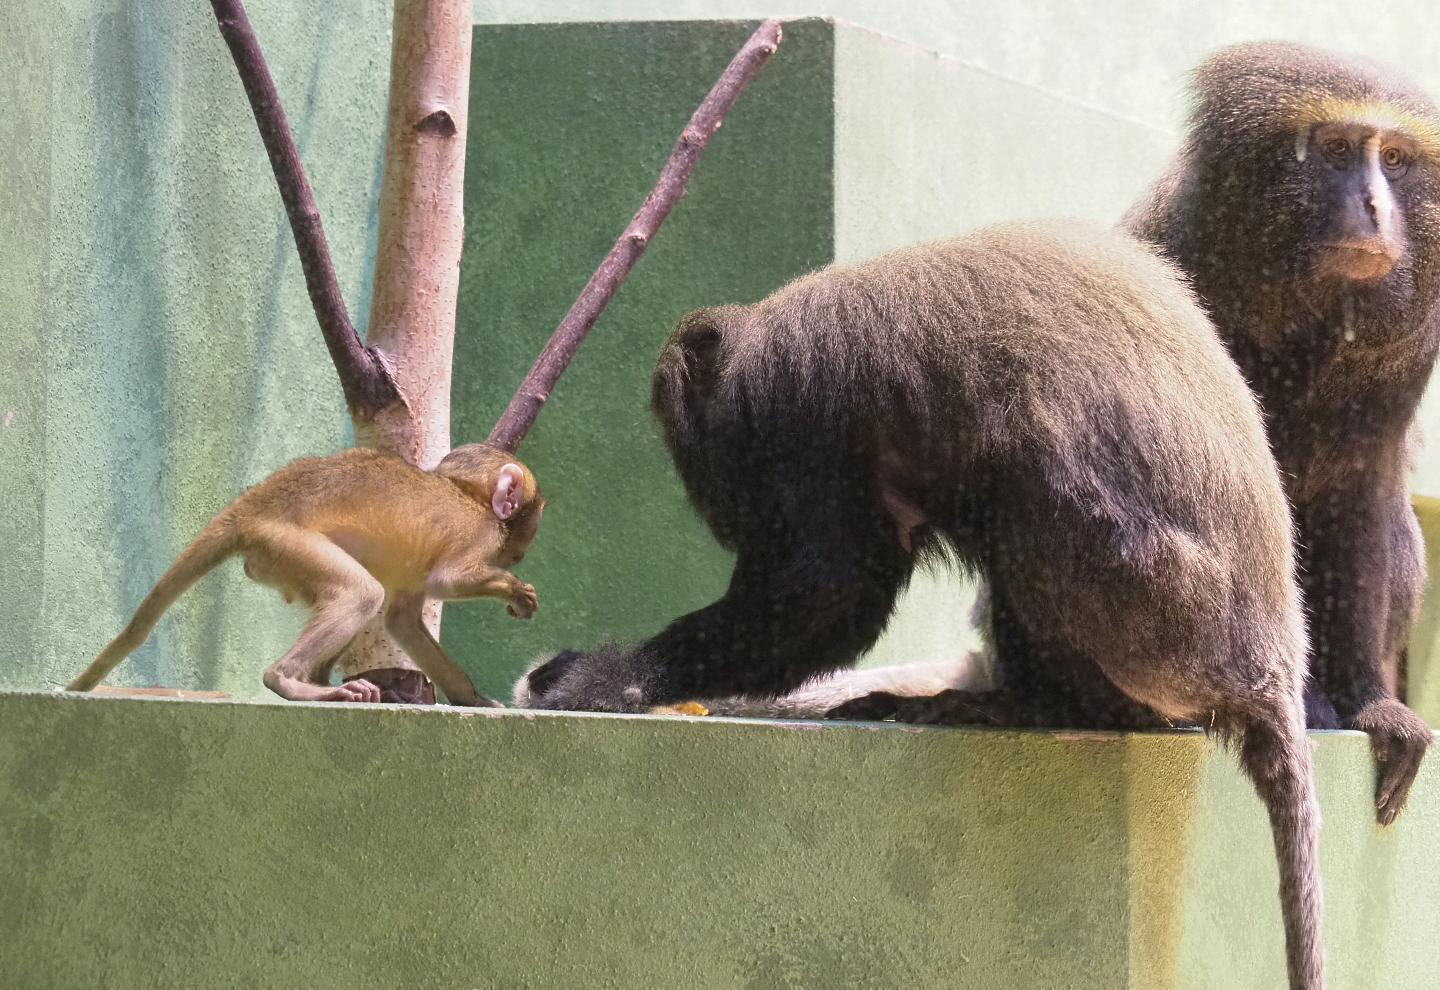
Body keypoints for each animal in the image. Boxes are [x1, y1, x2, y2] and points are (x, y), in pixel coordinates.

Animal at [68, 443, 543, 707]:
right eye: (534, 520)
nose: (524, 549)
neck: (470, 498)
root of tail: (255, 503)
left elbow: (402, 621)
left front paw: (470, 697)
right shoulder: (480, 534)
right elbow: (447, 579)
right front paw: (514, 590)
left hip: (275, 557)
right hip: (284, 542)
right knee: (360, 592)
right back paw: (291, 682)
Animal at [514, 218, 1323, 990]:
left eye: (704, 466)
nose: (720, 516)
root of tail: (1270, 668)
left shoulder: (804, 410)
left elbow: (829, 593)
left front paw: (610, 679)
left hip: (1161, 619)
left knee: (1028, 487)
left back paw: (1044, 708)